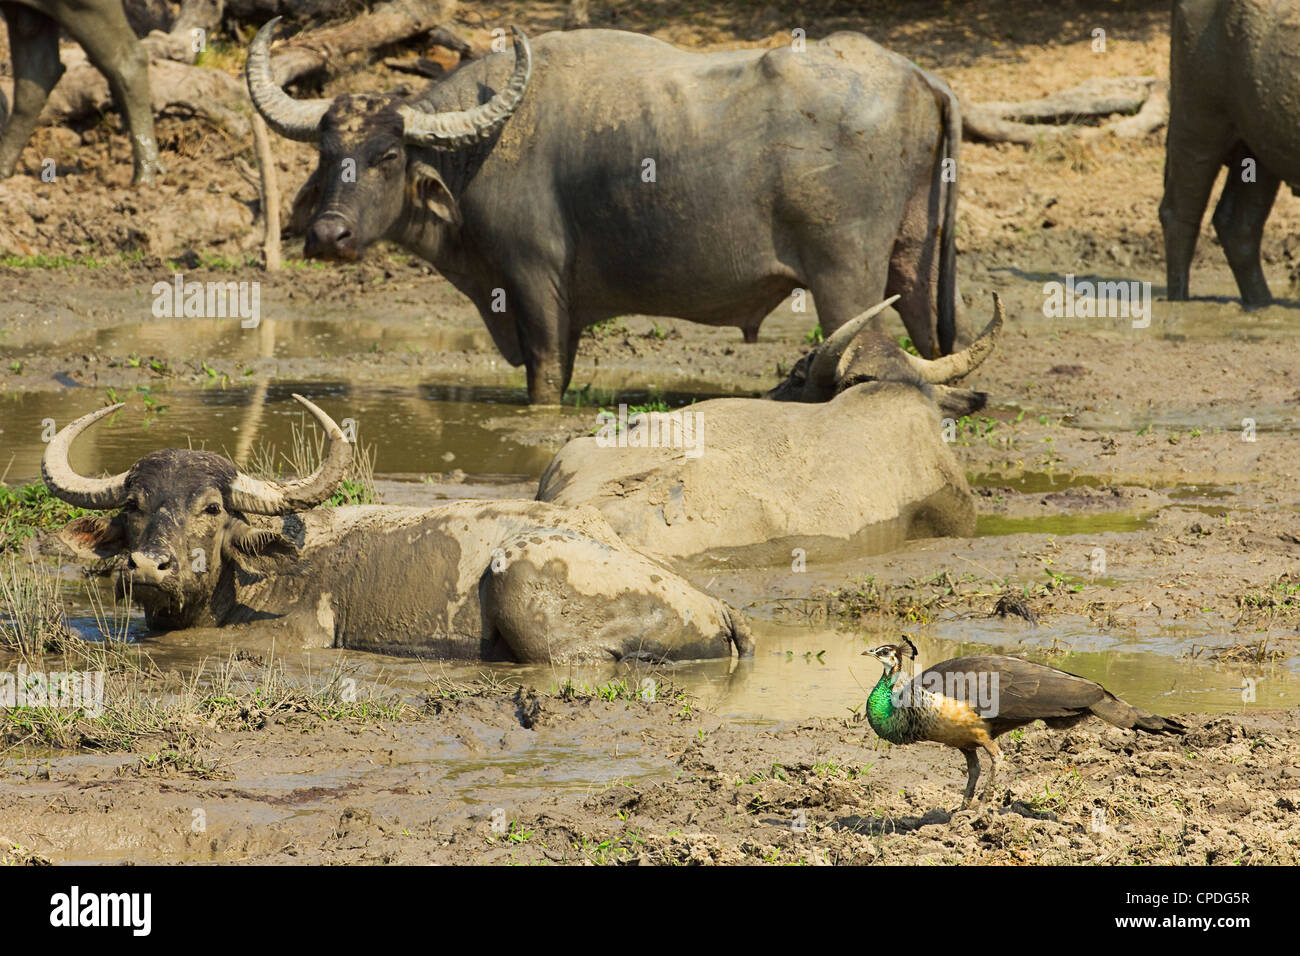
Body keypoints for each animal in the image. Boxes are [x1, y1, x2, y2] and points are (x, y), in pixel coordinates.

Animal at [248, 21, 972, 403]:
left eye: (388, 156)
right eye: (327, 153)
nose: (328, 234)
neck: (479, 150)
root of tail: (920, 76)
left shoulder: (534, 280)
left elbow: (544, 373)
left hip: (845, 279)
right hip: (916, 261)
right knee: (937, 344)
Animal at [1164, 0, 1300, 306]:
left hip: (1257, 151)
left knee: (1236, 225)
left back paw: (1262, 302)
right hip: (1197, 126)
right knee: (1179, 215)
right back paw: (1180, 301)